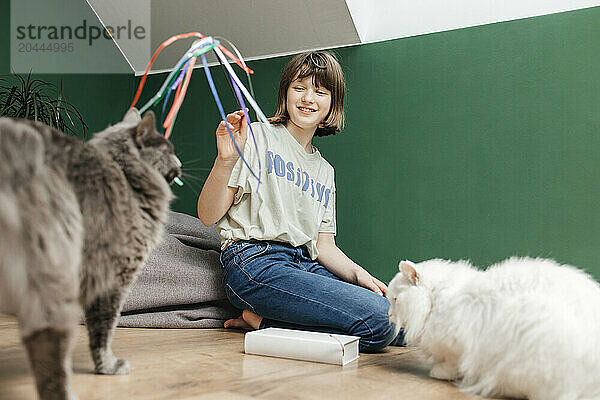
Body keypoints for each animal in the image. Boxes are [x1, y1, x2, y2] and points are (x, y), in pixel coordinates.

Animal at [0, 108, 180, 400]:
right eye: (169, 150)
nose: (180, 162)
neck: (126, 174)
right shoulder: (113, 280)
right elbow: (104, 330)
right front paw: (109, 367)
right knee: (49, 354)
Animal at [386, 256, 600, 400]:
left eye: (395, 299)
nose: (388, 315)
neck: (434, 299)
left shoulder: (456, 342)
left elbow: (453, 363)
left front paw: (440, 372)